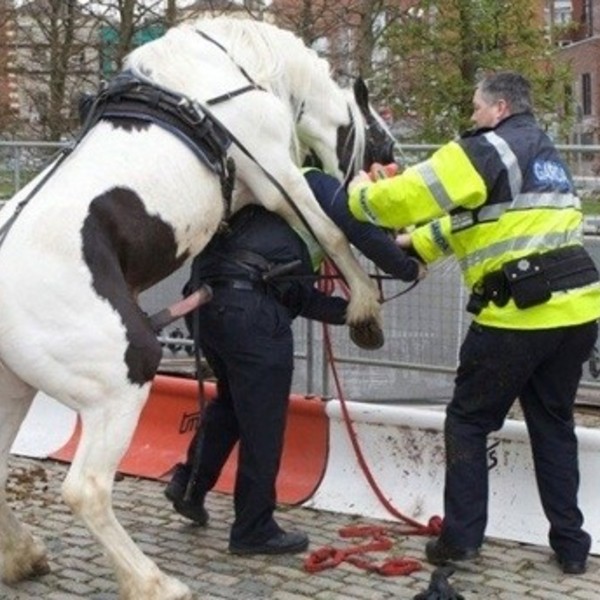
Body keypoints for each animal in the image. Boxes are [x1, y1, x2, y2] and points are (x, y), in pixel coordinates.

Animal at [0, 14, 394, 600]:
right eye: (383, 138)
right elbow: (330, 232)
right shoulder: (278, 176)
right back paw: (151, 581)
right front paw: (366, 307)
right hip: (120, 386)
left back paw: (23, 555)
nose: (394, 168)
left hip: (16, 389)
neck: (231, 69)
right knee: (87, 490)